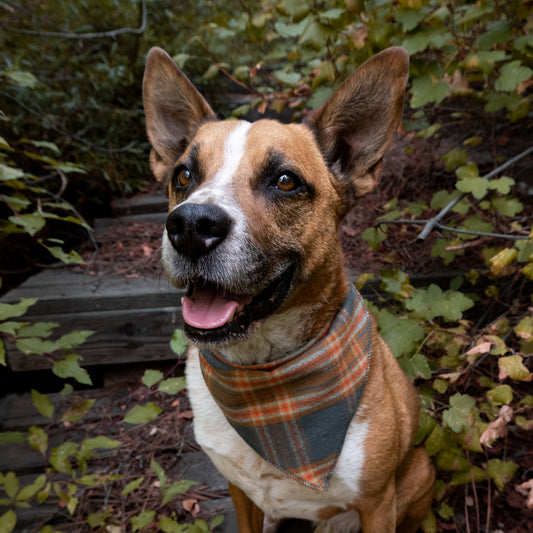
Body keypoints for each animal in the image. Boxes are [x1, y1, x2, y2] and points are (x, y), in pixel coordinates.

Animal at [143, 46, 434, 532]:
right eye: (183, 175)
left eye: (285, 181)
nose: (190, 226)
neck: (265, 375)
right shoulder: (240, 490)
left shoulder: (377, 502)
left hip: (419, 473)